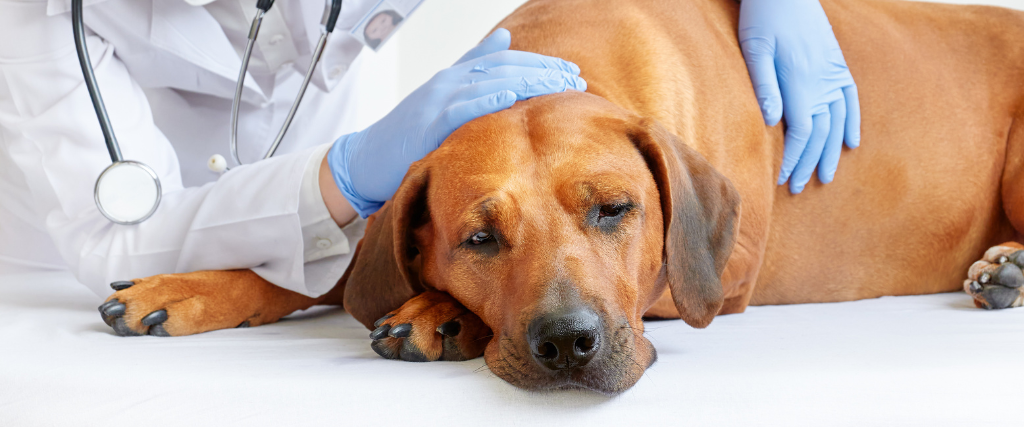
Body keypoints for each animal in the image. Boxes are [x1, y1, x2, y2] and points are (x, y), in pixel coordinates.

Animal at [97, 0, 1024, 393]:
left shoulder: (719, 279)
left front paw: (438, 313)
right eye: (479, 239)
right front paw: (189, 285)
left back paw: (1007, 265)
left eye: (615, 209)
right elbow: (319, 265)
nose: (568, 344)